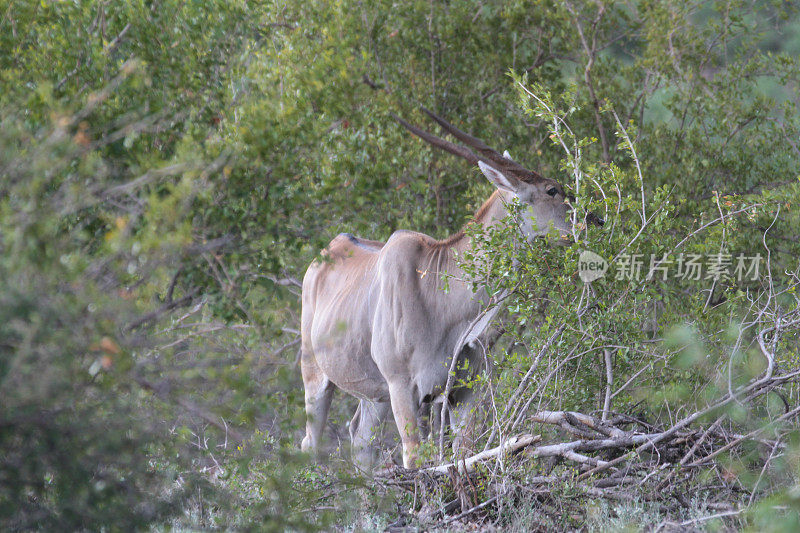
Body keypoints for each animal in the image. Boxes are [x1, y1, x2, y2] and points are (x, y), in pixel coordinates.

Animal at [300, 108, 600, 466]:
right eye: (552, 190)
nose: (595, 220)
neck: (439, 295)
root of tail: (327, 252)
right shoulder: (402, 387)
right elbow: (415, 456)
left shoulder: (463, 390)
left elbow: (464, 450)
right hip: (317, 377)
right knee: (311, 441)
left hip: (376, 396)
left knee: (360, 439)